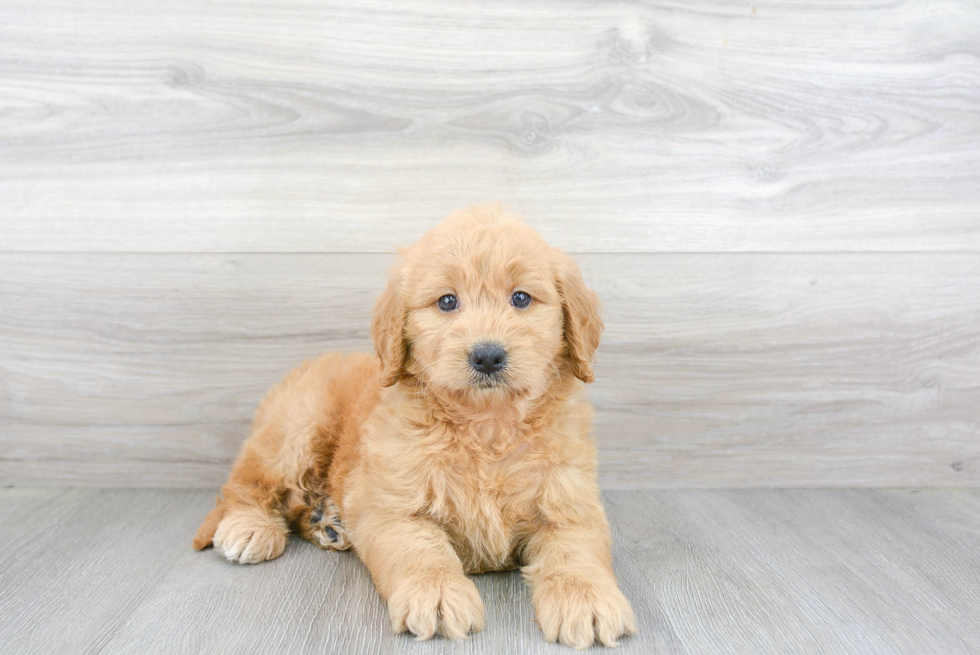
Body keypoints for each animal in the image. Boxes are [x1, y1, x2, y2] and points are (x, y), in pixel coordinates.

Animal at [193, 206, 636, 652]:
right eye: (447, 301)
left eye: (521, 298)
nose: (487, 356)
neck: (486, 426)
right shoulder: (393, 507)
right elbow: (420, 551)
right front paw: (436, 596)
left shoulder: (570, 504)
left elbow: (574, 553)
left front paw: (586, 599)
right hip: (296, 428)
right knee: (247, 482)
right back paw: (250, 527)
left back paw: (328, 522)